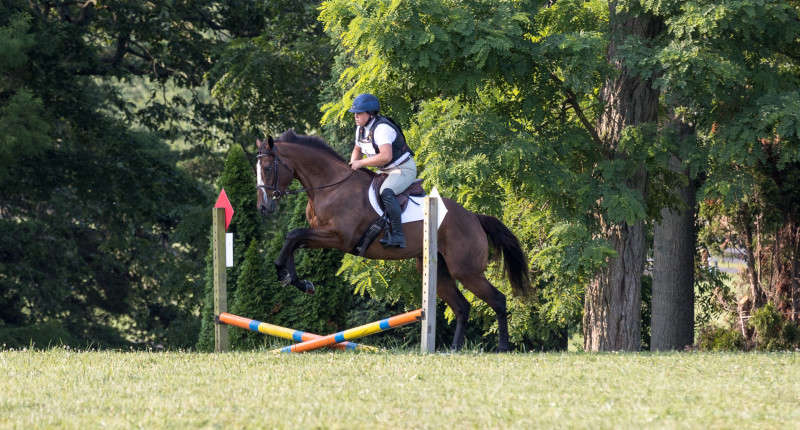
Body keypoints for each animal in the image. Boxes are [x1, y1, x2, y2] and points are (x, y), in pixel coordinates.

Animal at [256, 129, 532, 352]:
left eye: (268, 169)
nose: (263, 208)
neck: (331, 186)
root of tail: (473, 217)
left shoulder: (339, 238)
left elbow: (294, 236)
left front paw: (287, 276)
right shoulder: (321, 235)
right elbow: (293, 241)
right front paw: (296, 280)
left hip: (466, 270)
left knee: (497, 300)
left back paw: (502, 347)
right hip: (438, 269)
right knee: (462, 307)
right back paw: (454, 349)